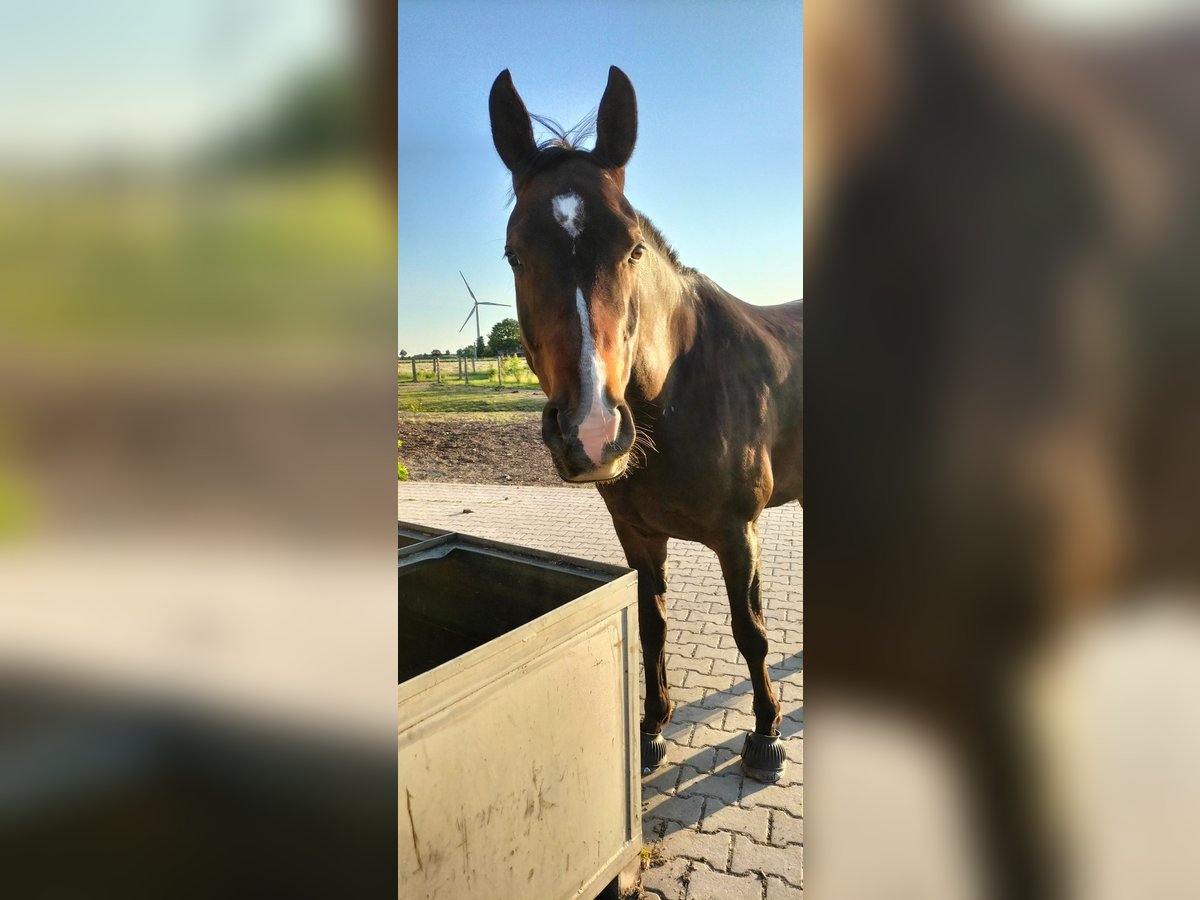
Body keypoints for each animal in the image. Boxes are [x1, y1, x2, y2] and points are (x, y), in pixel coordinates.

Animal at [482, 65, 801, 782]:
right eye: (514, 253)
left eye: (631, 250)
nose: (593, 432)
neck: (682, 386)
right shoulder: (637, 534)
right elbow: (650, 622)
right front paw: (652, 727)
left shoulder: (740, 535)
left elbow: (750, 631)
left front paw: (766, 733)